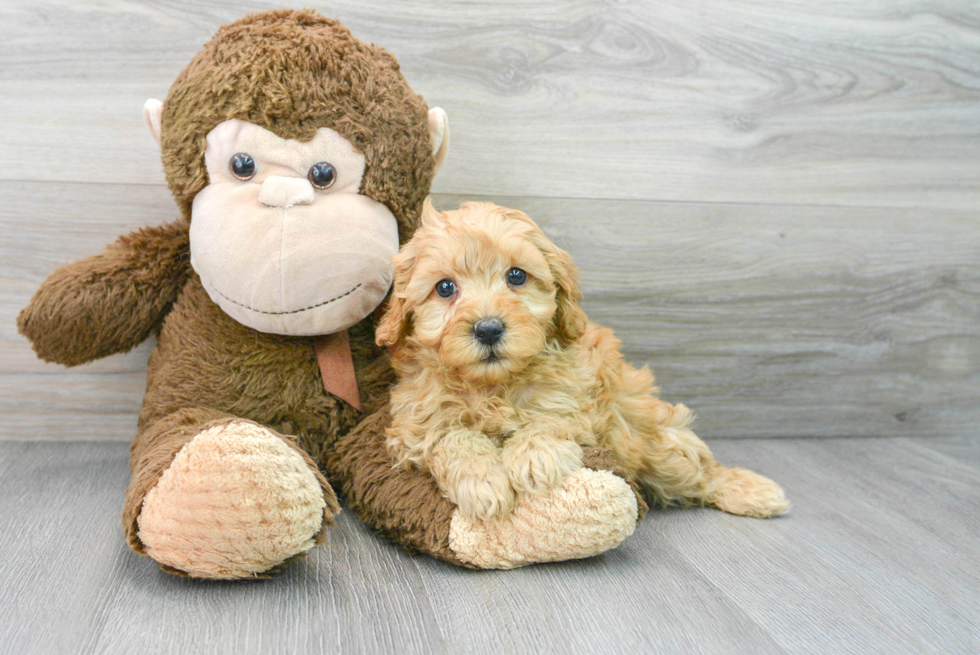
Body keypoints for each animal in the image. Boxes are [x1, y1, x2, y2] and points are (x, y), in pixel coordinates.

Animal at [376, 200, 788, 524]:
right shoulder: (414, 425)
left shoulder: (576, 401)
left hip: (656, 445)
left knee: (702, 474)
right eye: (445, 288)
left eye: (516, 276)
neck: (494, 385)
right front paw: (483, 483)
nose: (489, 329)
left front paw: (535, 458)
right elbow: (452, 436)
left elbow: (550, 419)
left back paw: (753, 491)